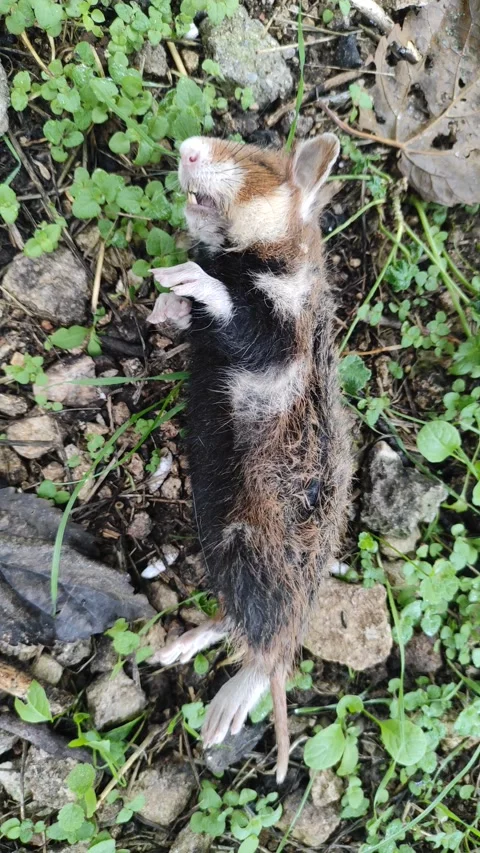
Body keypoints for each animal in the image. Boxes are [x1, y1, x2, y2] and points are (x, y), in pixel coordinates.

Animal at [147, 135, 352, 783]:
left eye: (257, 163)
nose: (186, 149)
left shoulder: (277, 333)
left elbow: (225, 302)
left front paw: (180, 275)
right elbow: (191, 311)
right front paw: (164, 297)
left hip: (250, 551)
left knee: (266, 657)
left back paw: (222, 717)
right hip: (228, 544)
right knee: (238, 628)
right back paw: (171, 653)